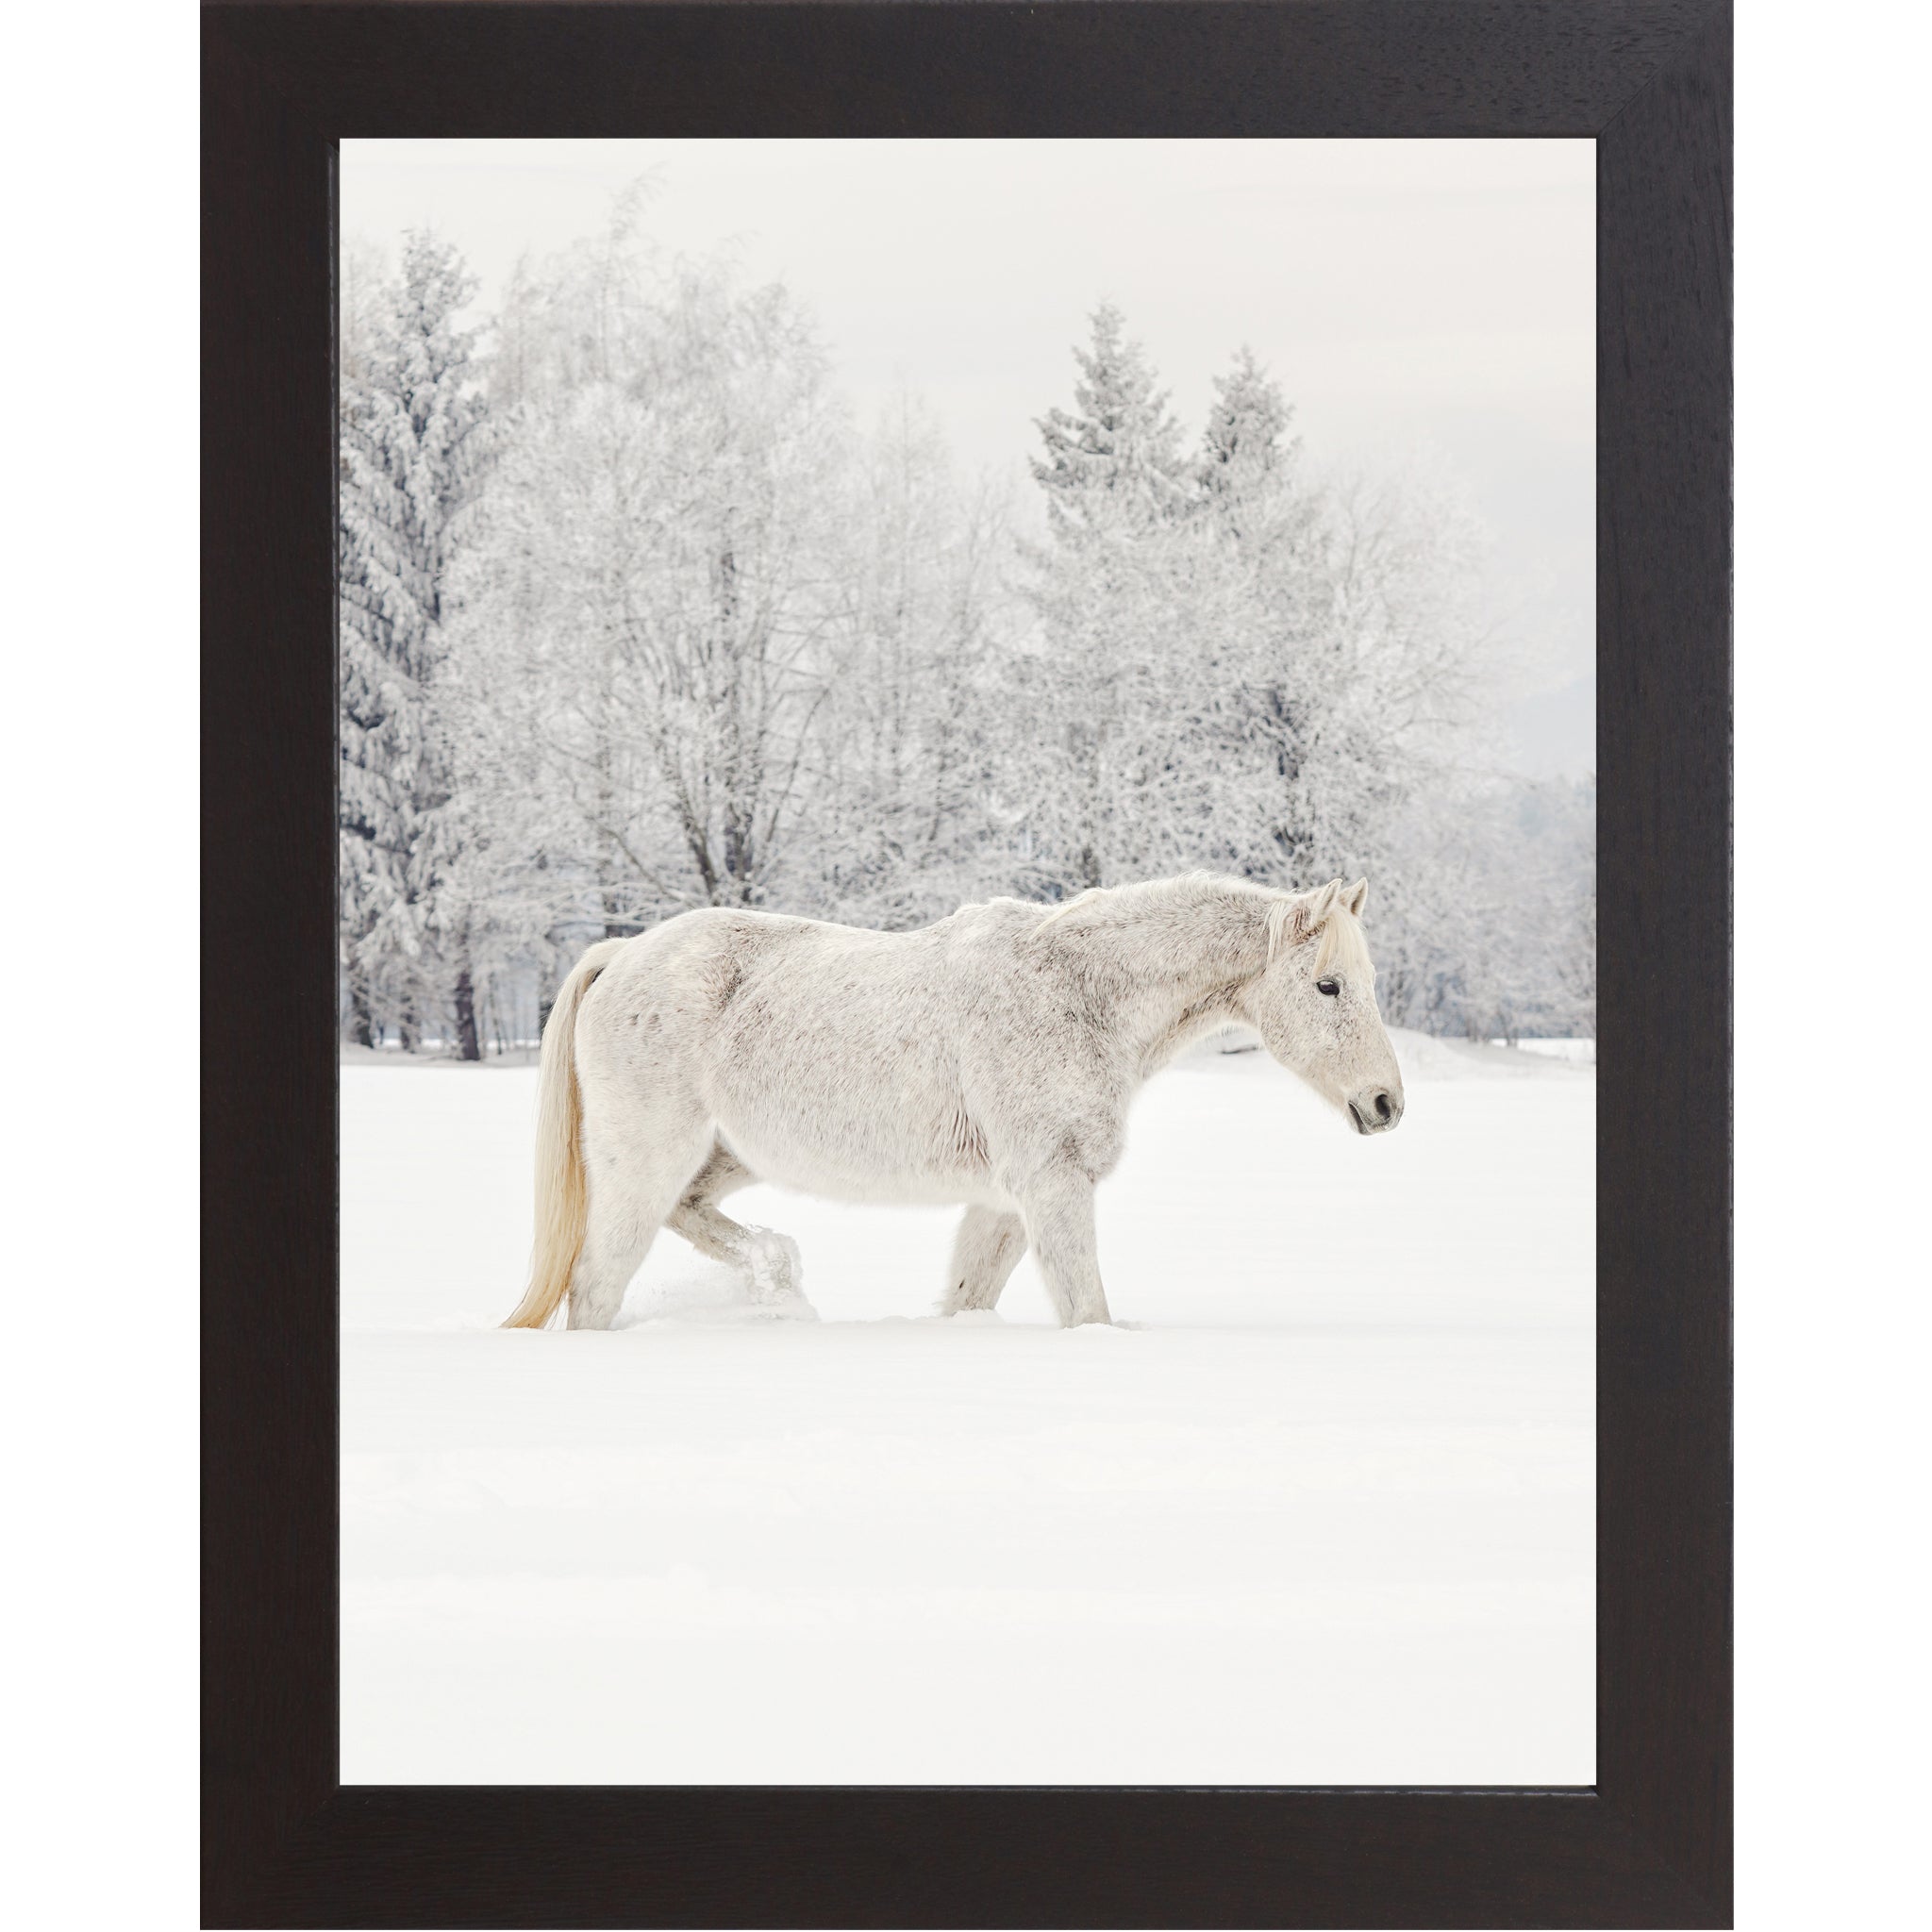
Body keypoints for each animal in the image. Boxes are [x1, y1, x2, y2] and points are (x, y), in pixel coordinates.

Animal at [501, 871, 1405, 1332]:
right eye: (1327, 985)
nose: (1386, 1103)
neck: (1077, 994)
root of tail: (622, 954)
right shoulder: (1051, 1187)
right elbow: (1088, 1310)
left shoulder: (1004, 1203)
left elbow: (970, 1297)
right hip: (644, 1163)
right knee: (596, 1285)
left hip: (723, 1156)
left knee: (690, 1217)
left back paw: (777, 1276)